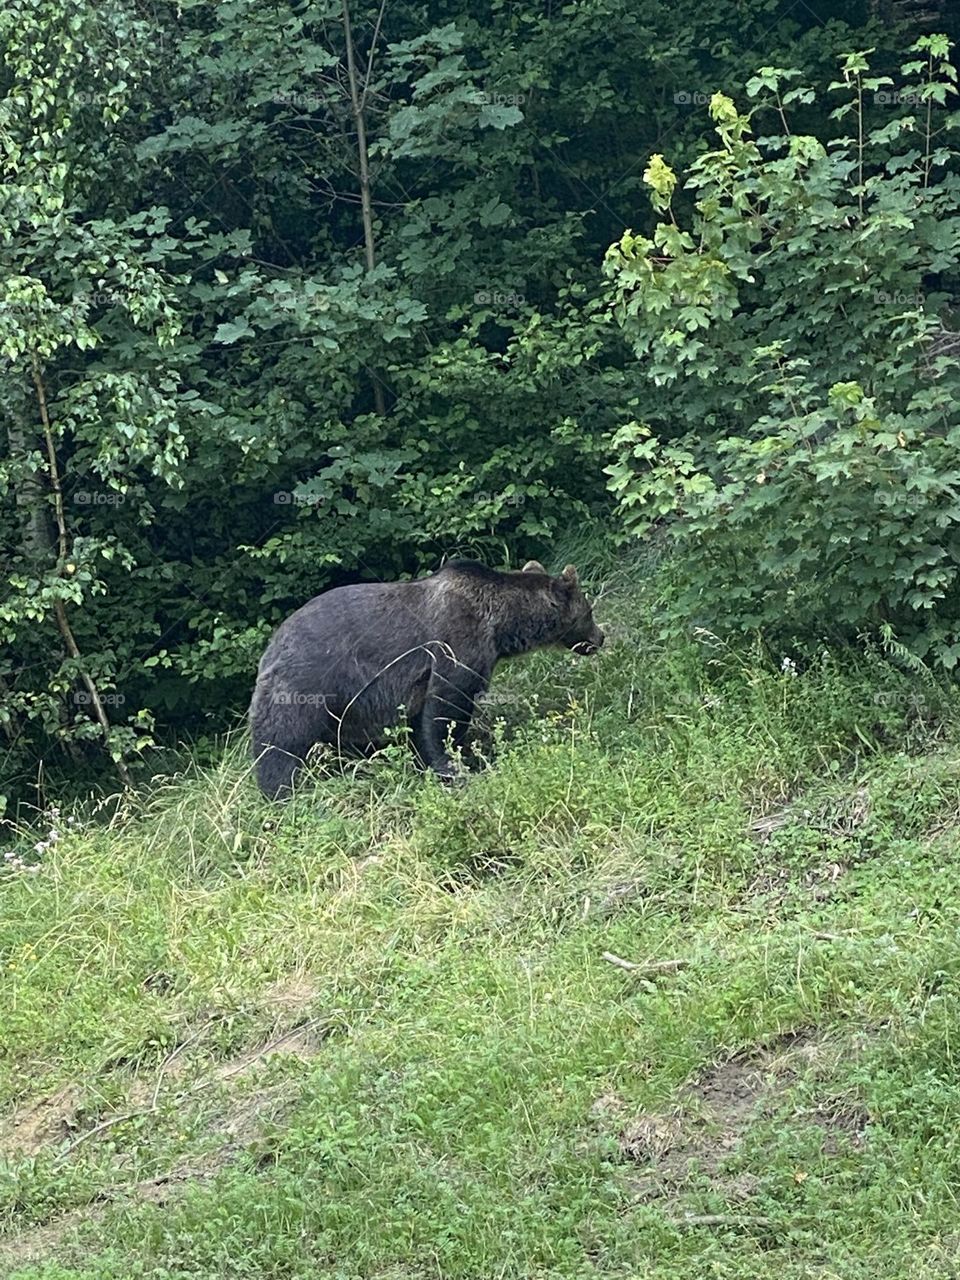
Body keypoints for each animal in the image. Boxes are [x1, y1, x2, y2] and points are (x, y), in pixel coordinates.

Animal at [249, 559, 604, 799]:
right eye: (588, 612)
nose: (599, 638)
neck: (500, 625)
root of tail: (269, 650)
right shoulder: (457, 644)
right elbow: (446, 708)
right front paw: (454, 766)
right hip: (306, 686)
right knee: (281, 743)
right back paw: (283, 793)